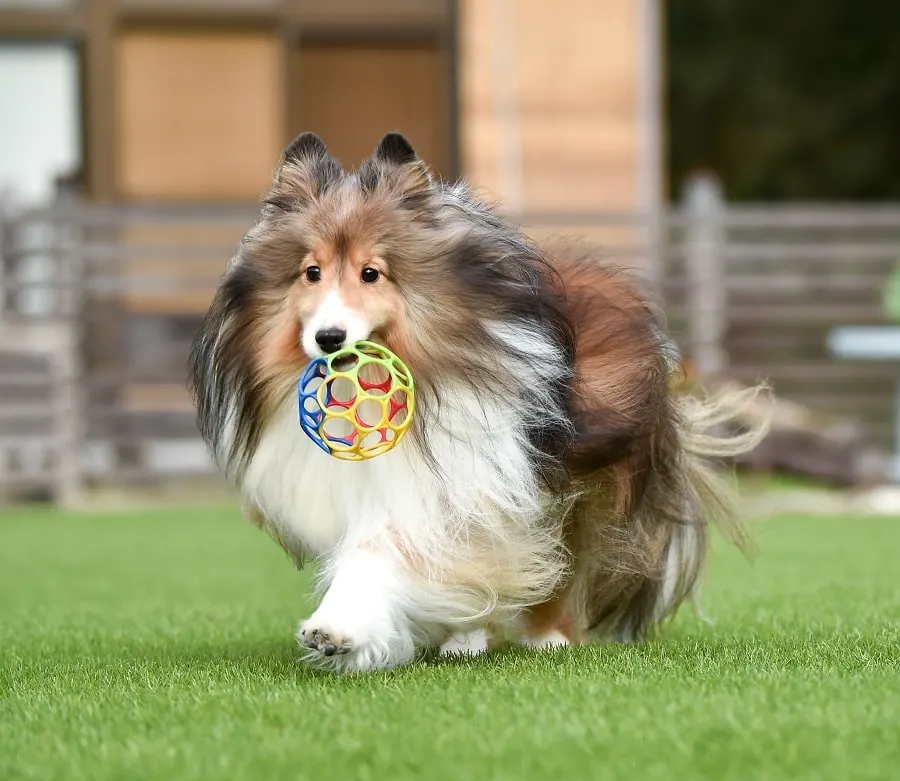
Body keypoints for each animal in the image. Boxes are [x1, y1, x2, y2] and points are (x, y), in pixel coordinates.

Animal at [188, 133, 768, 672]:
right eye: (311, 272)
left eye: (371, 273)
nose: (328, 339)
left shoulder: (463, 476)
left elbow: (383, 549)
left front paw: (337, 629)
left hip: (577, 480)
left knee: (561, 559)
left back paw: (544, 636)